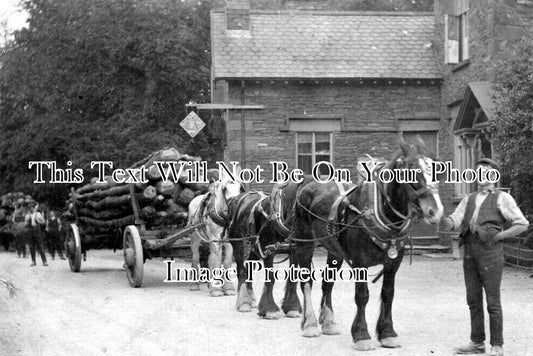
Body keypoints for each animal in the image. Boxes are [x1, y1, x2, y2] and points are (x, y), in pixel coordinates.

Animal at [188, 168, 244, 296]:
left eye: (240, 187)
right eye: (225, 188)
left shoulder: (229, 240)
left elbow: (227, 262)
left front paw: (228, 288)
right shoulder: (215, 239)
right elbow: (216, 261)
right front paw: (216, 289)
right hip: (195, 236)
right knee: (195, 256)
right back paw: (194, 284)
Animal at [225, 177, 316, 318]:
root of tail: (236, 199)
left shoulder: (294, 250)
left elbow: (293, 277)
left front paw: (292, 307)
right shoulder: (267, 249)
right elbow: (271, 278)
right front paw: (269, 309)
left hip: (253, 248)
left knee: (248, 268)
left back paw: (251, 299)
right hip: (238, 244)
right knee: (241, 270)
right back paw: (244, 302)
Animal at [288, 137, 442, 350]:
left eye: (437, 169)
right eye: (411, 170)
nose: (436, 211)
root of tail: (309, 184)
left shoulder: (393, 263)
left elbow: (388, 294)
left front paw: (387, 333)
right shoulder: (360, 261)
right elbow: (362, 296)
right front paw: (362, 335)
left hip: (335, 251)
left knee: (328, 283)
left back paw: (328, 322)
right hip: (304, 244)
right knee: (306, 282)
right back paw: (310, 324)